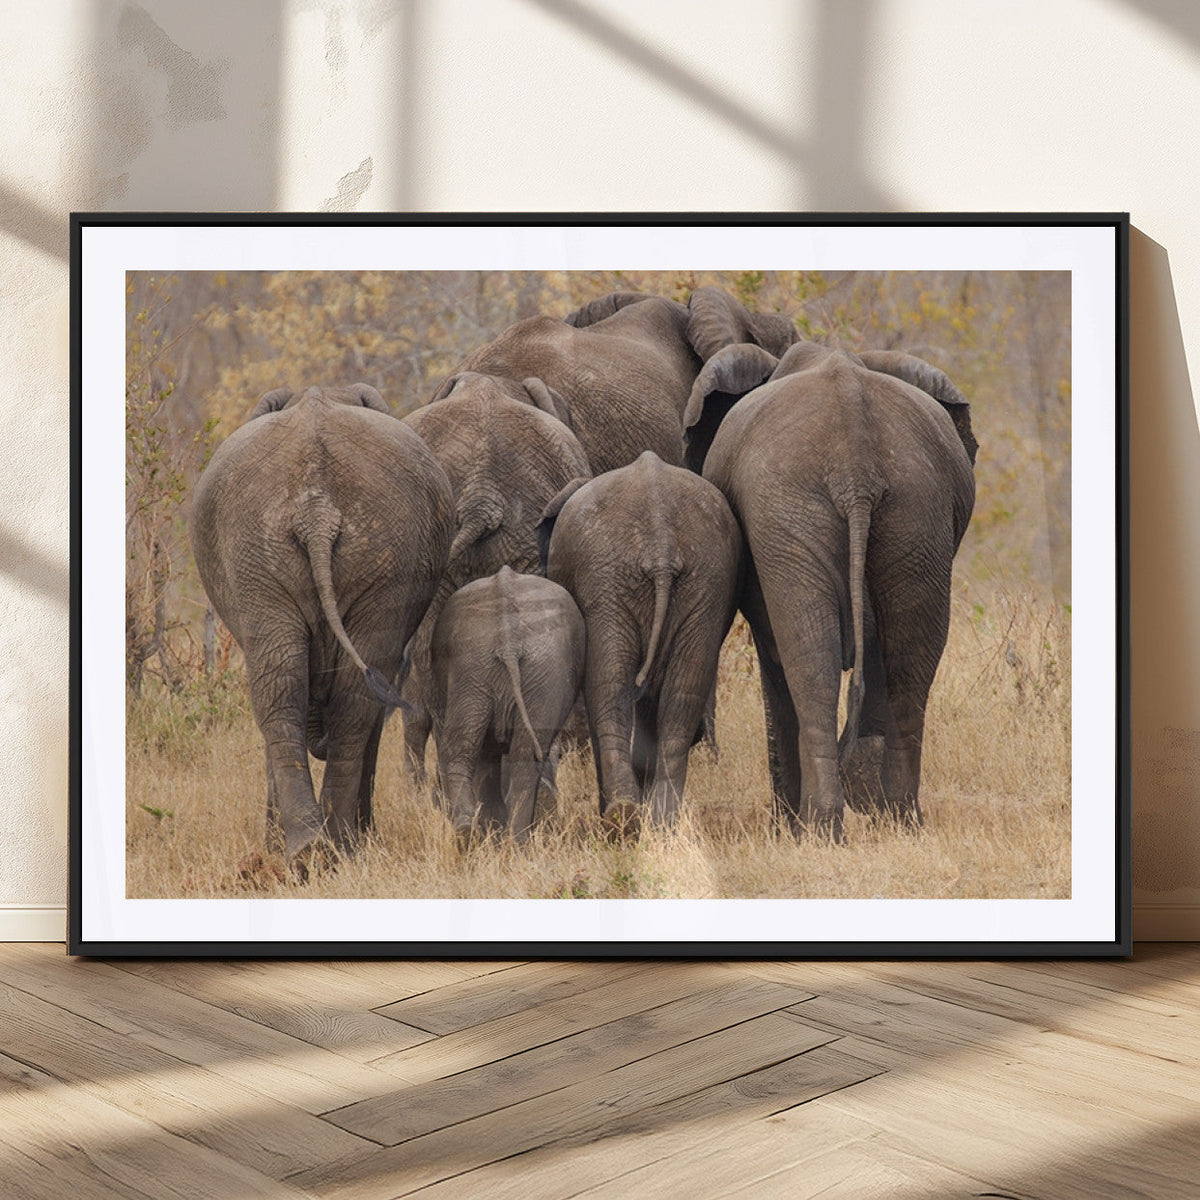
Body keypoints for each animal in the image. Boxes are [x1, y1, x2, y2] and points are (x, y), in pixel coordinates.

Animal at [190, 382, 453, 868]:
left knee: (301, 690)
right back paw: (318, 849)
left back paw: (324, 848)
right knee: (310, 688)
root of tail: (317, 511)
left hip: (333, 552)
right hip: (279, 550)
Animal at [430, 567, 586, 843]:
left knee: (472, 749)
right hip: (514, 669)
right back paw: (496, 838)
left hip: (488, 668)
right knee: (506, 752)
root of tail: (508, 637)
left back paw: (481, 837)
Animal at [538, 451, 743, 830]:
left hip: (609, 582)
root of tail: (661, 541)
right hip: (704, 580)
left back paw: (621, 818)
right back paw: (657, 821)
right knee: (679, 696)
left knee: (609, 689)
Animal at [689, 340, 979, 838]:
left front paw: (788, 826)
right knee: (907, 661)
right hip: (915, 508)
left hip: (790, 507)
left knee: (808, 659)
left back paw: (819, 829)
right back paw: (899, 821)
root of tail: (855, 458)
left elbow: (774, 653)